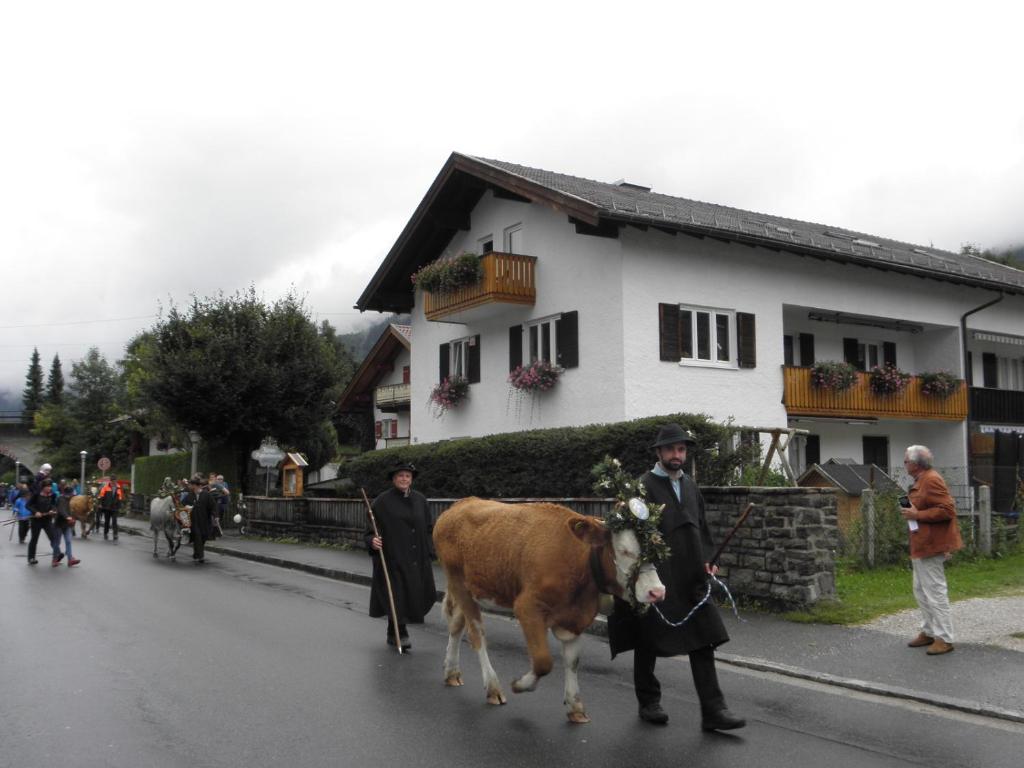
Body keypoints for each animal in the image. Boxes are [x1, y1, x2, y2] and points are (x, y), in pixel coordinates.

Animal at [432, 501, 663, 724]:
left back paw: (451, 672)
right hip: (458, 583)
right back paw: (492, 687)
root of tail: (458, 505)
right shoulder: (527, 607)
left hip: (470, 591)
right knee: (476, 634)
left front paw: (575, 707)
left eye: (655, 551)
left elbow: (572, 661)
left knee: (456, 625)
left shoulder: (575, 618)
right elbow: (543, 662)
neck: (577, 560)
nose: (658, 591)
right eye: (624, 551)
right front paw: (519, 685)